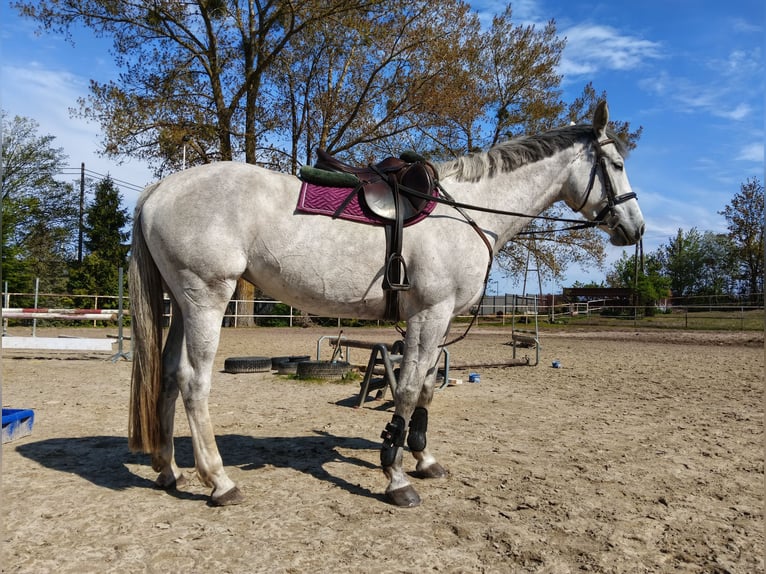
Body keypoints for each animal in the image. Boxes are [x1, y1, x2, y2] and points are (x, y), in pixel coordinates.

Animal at [128, 101, 645, 507]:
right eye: (616, 164)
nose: (635, 228)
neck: (467, 212)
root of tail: (160, 189)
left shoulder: (439, 318)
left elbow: (429, 388)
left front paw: (423, 456)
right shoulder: (429, 314)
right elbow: (410, 389)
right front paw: (395, 475)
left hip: (183, 304)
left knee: (169, 376)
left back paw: (169, 469)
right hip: (206, 298)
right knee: (194, 383)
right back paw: (219, 481)